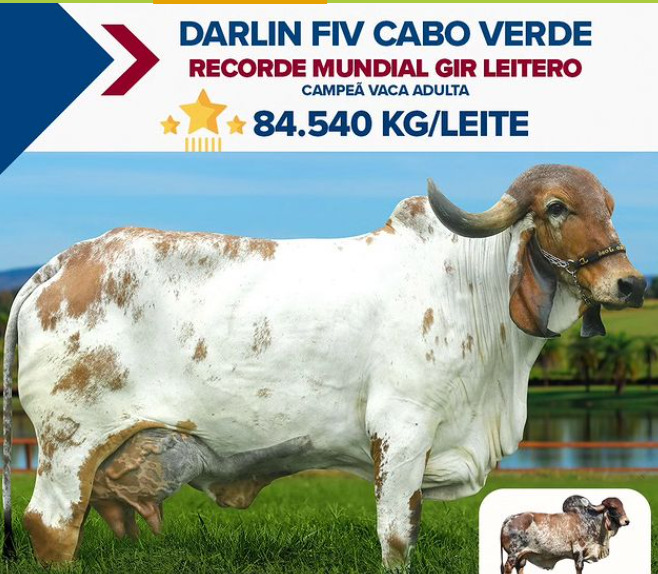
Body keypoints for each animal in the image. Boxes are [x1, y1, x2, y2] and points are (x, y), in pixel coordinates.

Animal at [500, 495, 630, 573]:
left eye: (622, 506)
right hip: (513, 555)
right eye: (613, 507)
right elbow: (579, 567)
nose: (626, 521)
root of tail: (509, 519)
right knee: (508, 567)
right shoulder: (578, 550)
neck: (589, 521)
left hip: (522, 558)